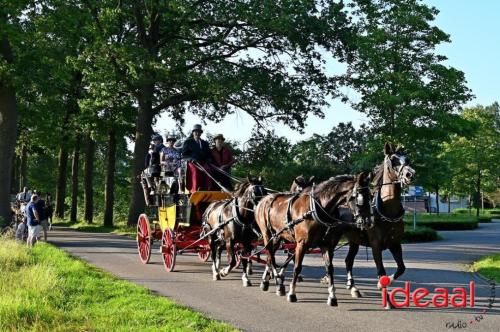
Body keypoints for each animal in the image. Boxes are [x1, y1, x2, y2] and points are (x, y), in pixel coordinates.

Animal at [256, 172, 374, 304]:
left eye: (371, 196)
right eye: (359, 197)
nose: (369, 222)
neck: (316, 209)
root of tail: (263, 200)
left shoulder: (326, 244)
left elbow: (329, 268)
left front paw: (332, 296)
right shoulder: (301, 244)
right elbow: (297, 267)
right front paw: (292, 293)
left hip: (277, 236)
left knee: (269, 256)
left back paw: (267, 282)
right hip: (267, 234)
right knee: (271, 255)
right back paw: (278, 283)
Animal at [340, 142, 414, 300]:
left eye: (407, 159)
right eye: (393, 160)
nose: (410, 174)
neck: (387, 211)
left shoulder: (395, 243)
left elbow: (401, 268)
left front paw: (385, 282)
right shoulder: (375, 245)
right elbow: (381, 270)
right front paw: (383, 288)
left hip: (354, 240)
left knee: (349, 260)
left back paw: (352, 287)